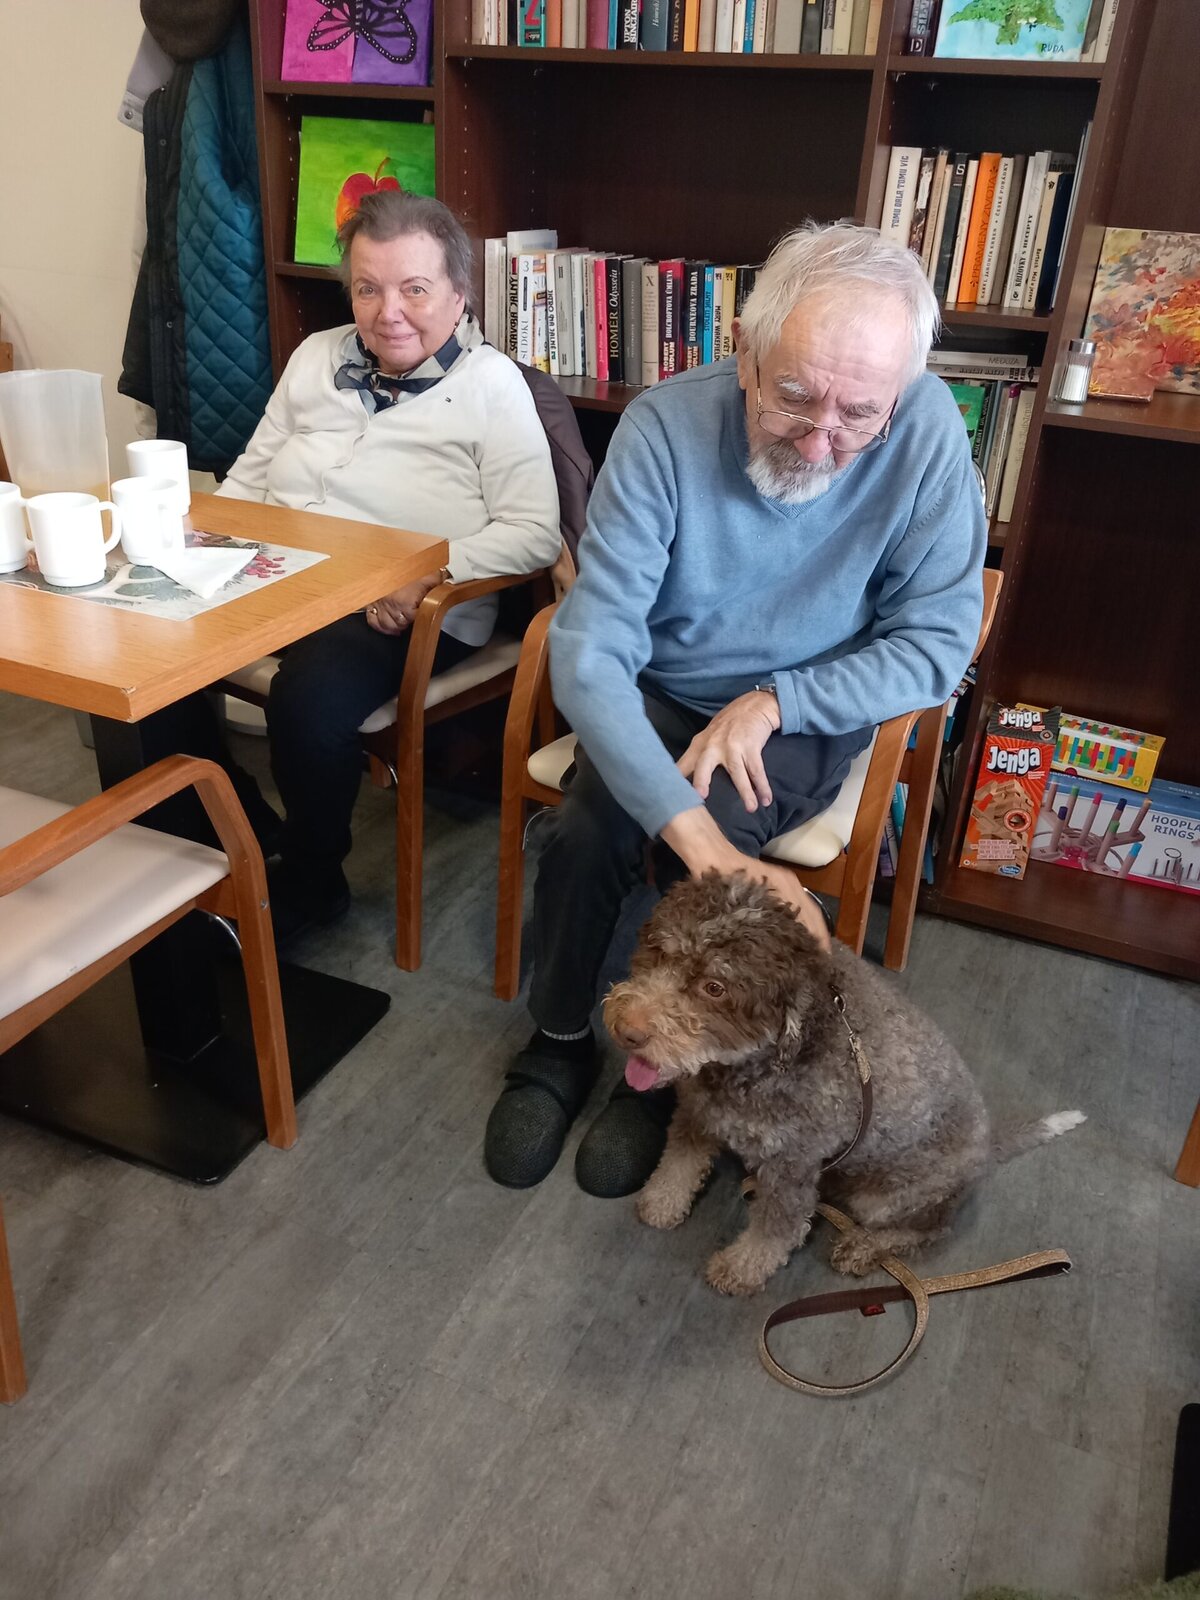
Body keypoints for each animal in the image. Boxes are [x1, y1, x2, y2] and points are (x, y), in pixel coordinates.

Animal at [603, 872, 1084, 1297]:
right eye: (658, 950)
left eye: (714, 987)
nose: (628, 1031)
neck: (753, 1064)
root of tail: (986, 1150)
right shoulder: (699, 1111)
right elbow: (678, 1161)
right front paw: (663, 1201)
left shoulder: (791, 1165)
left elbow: (776, 1230)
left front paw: (740, 1268)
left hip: (895, 1196)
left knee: (932, 1227)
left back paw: (864, 1246)